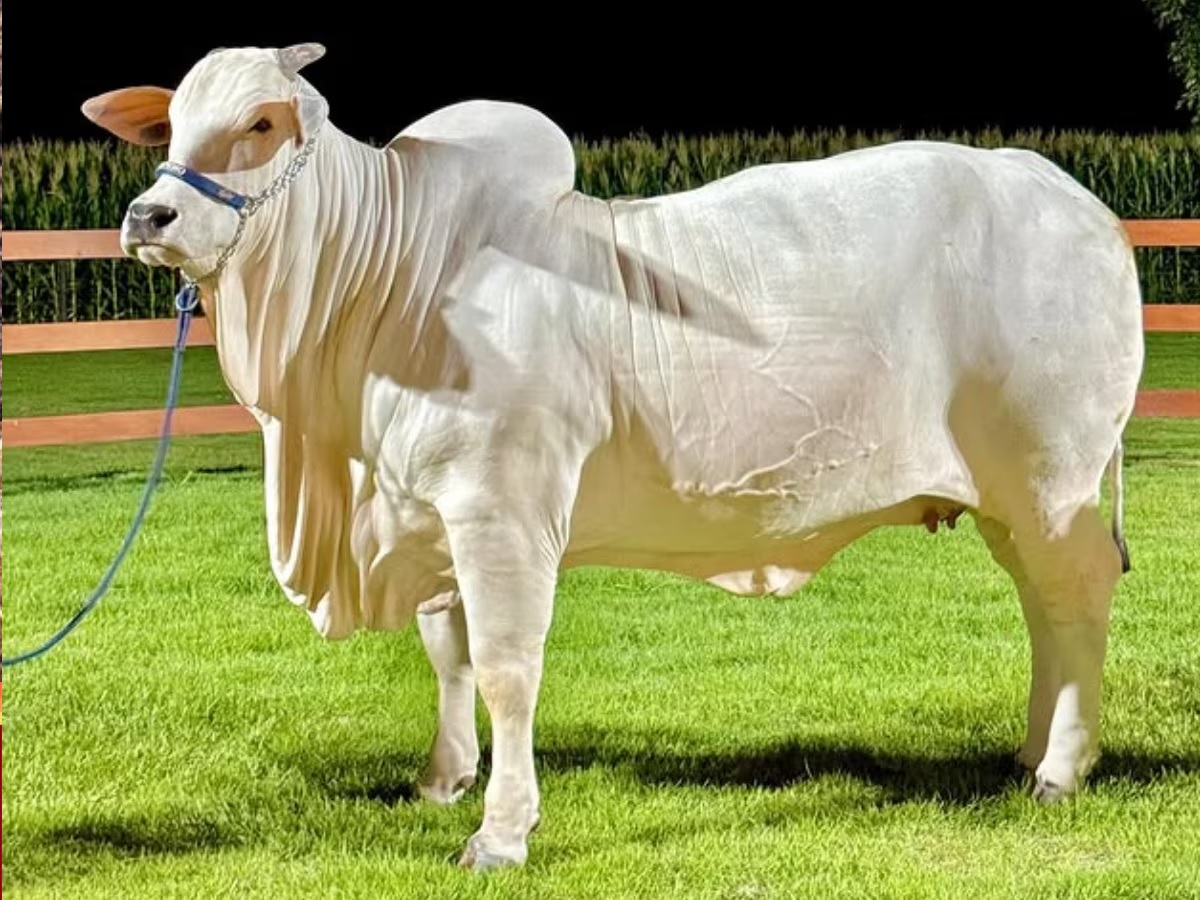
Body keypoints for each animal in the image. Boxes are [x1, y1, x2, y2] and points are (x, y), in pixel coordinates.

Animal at [82, 43, 1145, 869]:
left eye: (262, 121)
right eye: (170, 124)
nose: (149, 218)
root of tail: (1075, 198)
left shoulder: (501, 513)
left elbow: (506, 668)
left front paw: (501, 834)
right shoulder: (430, 509)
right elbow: (447, 655)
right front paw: (443, 781)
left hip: (1052, 481)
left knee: (1076, 595)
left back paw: (1061, 770)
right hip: (1010, 497)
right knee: (1043, 606)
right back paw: (1030, 753)